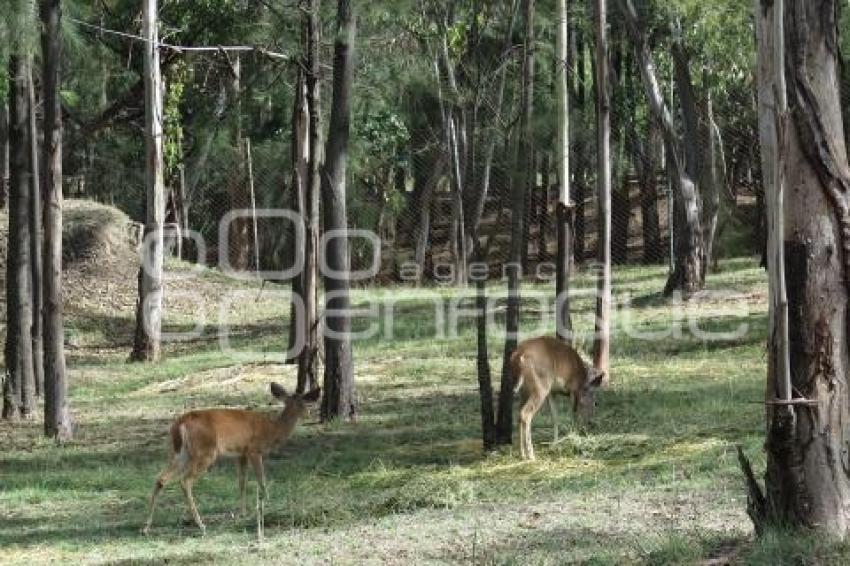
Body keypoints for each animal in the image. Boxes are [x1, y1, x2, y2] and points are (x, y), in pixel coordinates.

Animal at [143, 384, 322, 536]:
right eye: (303, 404)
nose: (308, 414)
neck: (272, 431)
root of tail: (180, 424)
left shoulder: (241, 454)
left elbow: (242, 483)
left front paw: (242, 512)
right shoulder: (254, 450)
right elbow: (261, 480)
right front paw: (267, 504)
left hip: (179, 453)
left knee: (161, 479)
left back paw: (146, 527)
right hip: (205, 452)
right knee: (185, 481)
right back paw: (201, 525)